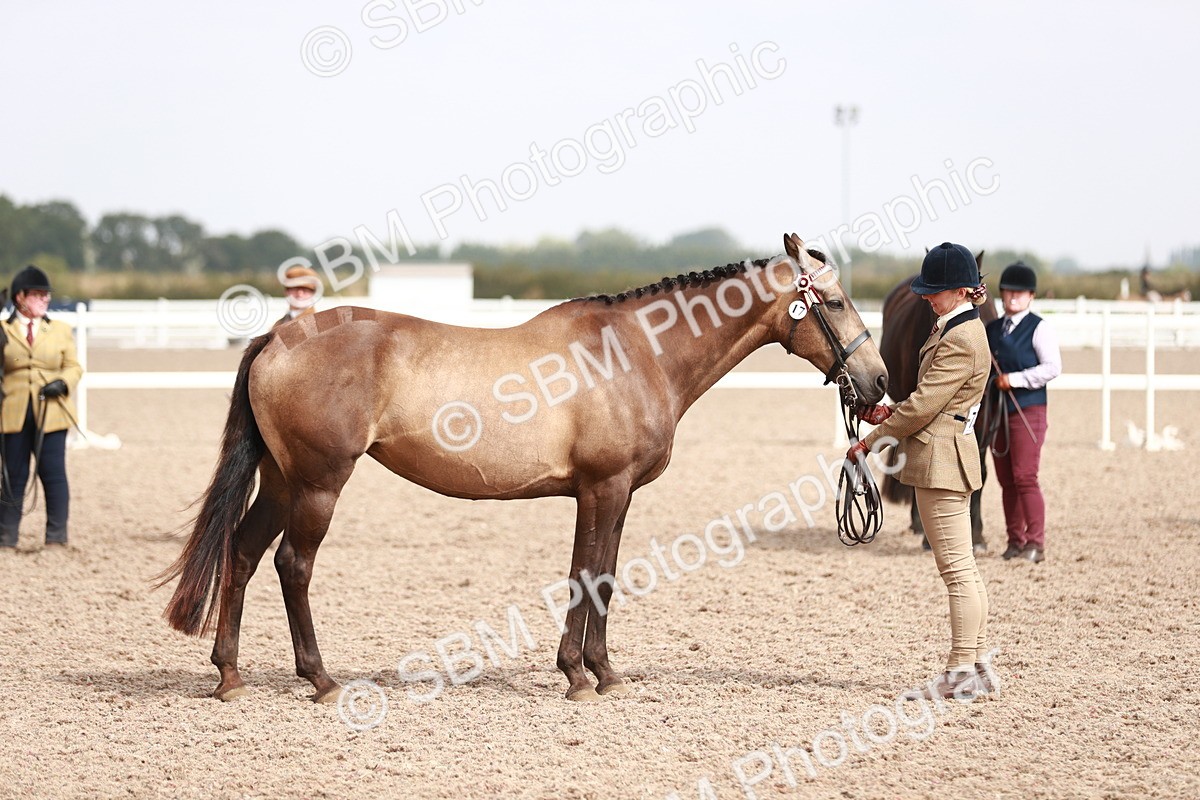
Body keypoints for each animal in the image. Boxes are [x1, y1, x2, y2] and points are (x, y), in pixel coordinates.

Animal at [157, 233, 888, 704]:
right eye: (837, 301)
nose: (878, 381)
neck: (637, 351)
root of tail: (280, 336)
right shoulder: (601, 489)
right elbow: (586, 576)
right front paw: (578, 677)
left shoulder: (616, 496)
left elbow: (604, 576)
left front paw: (603, 672)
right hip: (317, 484)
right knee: (292, 565)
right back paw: (322, 680)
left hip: (282, 482)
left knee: (242, 552)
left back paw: (230, 677)